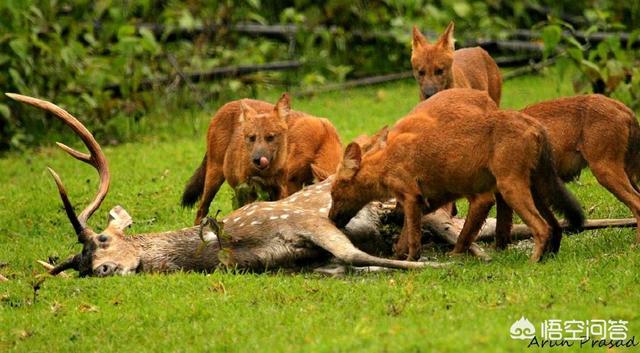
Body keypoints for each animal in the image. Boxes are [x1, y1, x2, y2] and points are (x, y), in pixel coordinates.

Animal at [330, 88, 584, 260]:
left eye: (333, 194)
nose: (330, 218)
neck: (386, 161)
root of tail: (534, 124)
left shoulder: (414, 197)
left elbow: (418, 238)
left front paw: (419, 260)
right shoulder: (424, 201)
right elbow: (407, 234)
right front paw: (400, 256)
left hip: (510, 188)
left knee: (541, 227)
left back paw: (533, 260)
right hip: (535, 187)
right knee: (554, 225)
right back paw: (547, 256)